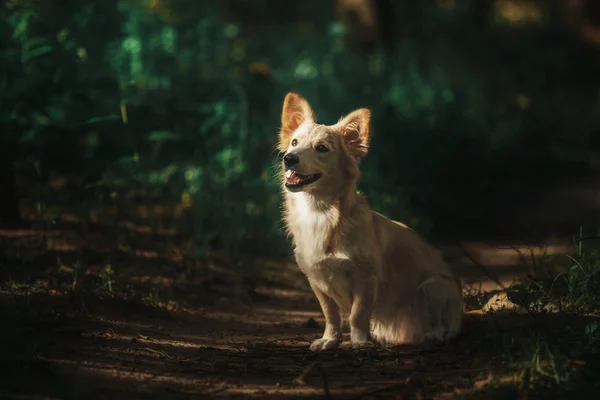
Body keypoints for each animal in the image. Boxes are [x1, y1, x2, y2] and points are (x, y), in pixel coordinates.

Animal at [276, 91, 464, 350]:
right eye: (294, 142)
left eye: (322, 148)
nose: (289, 158)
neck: (320, 212)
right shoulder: (317, 281)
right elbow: (330, 314)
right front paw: (330, 339)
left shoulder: (367, 280)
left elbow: (357, 315)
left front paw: (359, 342)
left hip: (433, 287)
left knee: (448, 326)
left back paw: (434, 334)